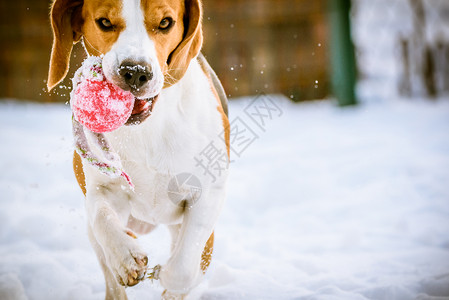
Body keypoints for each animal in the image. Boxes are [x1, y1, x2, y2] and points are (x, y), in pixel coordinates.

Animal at [46, 1, 228, 298]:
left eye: (165, 23)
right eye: (104, 22)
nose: (135, 71)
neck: (147, 127)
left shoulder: (208, 193)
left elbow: (181, 270)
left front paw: (166, 278)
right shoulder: (102, 187)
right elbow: (103, 218)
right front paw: (126, 257)